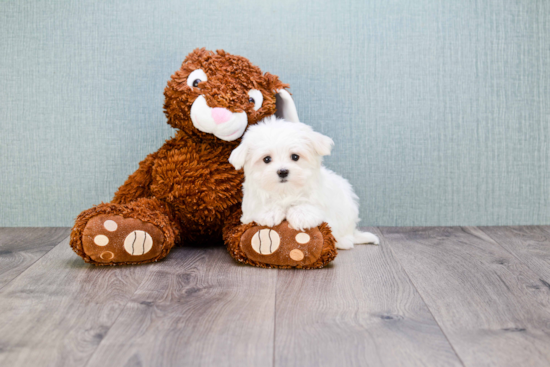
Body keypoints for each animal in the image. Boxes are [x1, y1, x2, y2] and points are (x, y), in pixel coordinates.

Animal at [229, 117, 380, 250]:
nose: (282, 171)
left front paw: (301, 215)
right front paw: (269, 213)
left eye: (295, 157)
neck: (285, 191)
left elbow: (308, 203)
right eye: (266, 159)